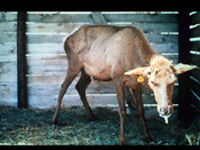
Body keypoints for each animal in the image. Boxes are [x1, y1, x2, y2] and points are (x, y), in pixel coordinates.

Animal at [51, 25, 197, 145]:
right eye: (153, 82)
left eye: (173, 81)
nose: (165, 110)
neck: (132, 63)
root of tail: (65, 39)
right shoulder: (117, 78)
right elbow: (122, 110)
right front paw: (121, 139)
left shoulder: (136, 84)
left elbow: (141, 109)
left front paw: (148, 136)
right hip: (74, 64)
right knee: (63, 87)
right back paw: (54, 120)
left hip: (87, 71)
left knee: (80, 87)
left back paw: (91, 116)